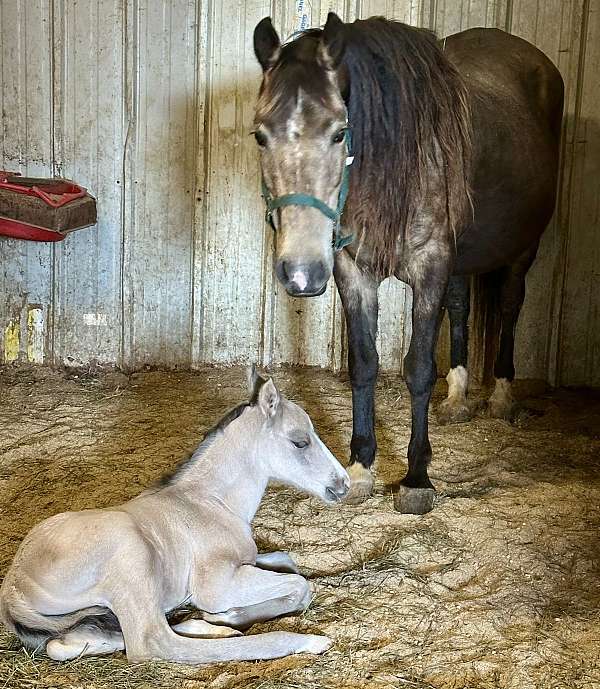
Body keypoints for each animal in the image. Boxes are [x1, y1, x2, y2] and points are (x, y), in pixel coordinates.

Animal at [0, 368, 349, 664]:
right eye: (300, 441)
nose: (343, 484)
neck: (211, 503)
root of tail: (13, 589)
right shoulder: (216, 585)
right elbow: (300, 585)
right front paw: (222, 615)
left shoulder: (249, 561)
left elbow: (288, 561)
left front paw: (218, 618)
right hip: (132, 555)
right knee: (153, 643)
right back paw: (304, 641)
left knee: (69, 643)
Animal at [252, 14, 563, 514]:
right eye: (261, 135)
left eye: (339, 132)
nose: (301, 272)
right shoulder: (354, 271)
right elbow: (363, 363)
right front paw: (361, 467)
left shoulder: (430, 267)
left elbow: (418, 368)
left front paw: (417, 478)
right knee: (460, 308)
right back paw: (457, 400)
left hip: (522, 250)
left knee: (509, 309)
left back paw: (501, 397)